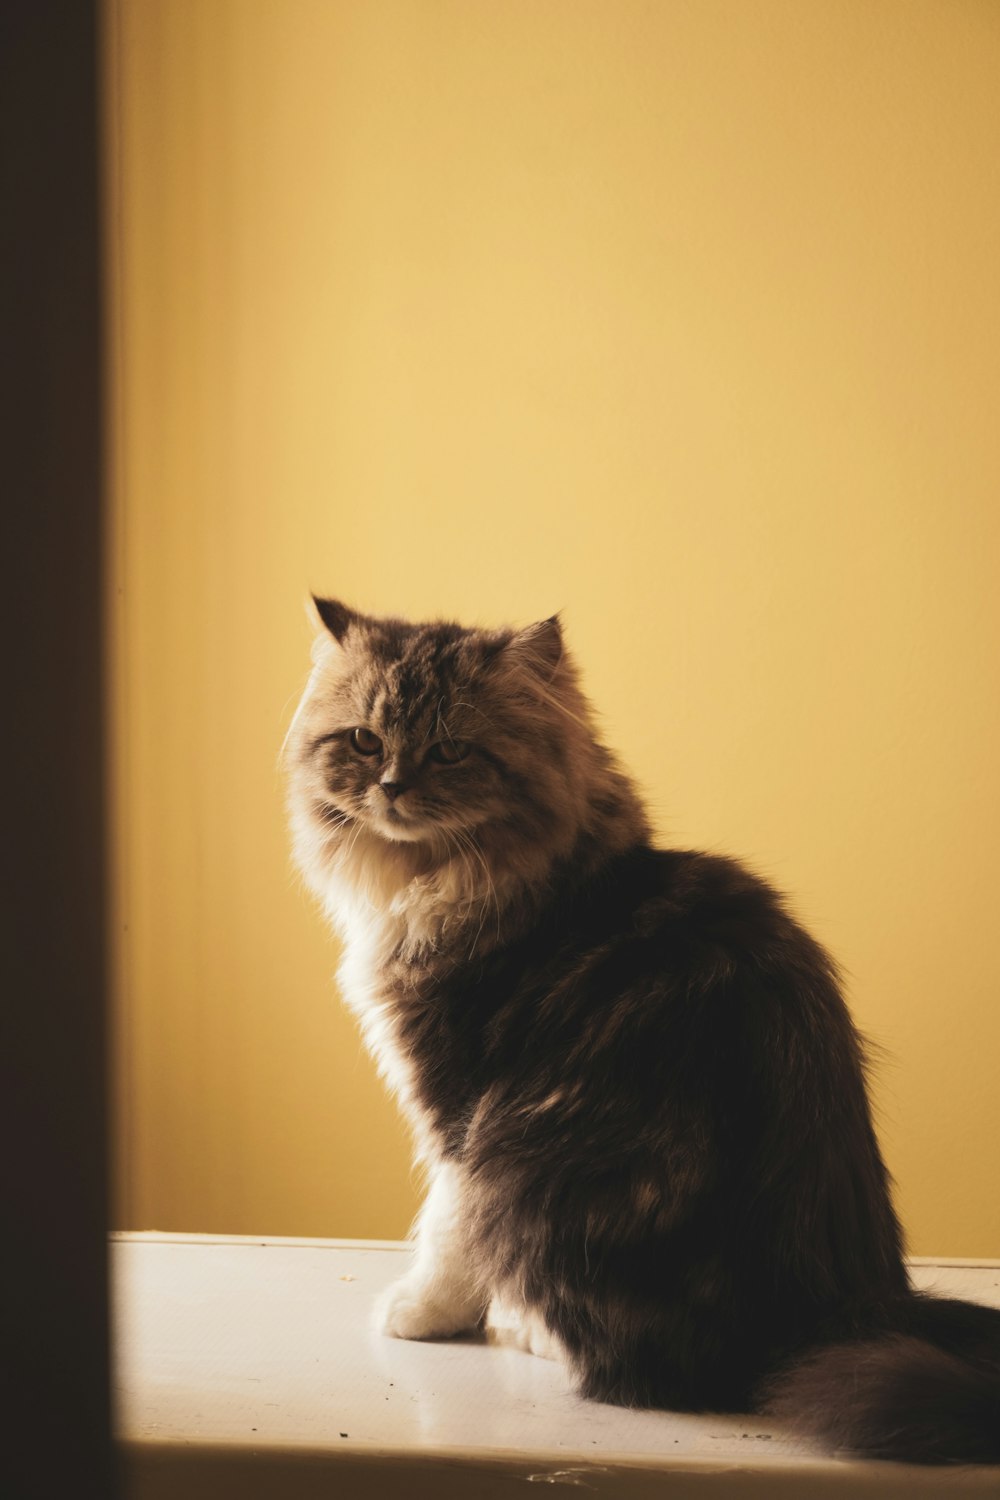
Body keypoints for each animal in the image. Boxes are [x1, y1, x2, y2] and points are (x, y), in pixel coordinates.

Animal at [283, 597, 1000, 1464]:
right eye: (364, 740)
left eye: (451, 751)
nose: (390, 786)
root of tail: (846, 1312)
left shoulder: (457, 1109)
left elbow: (446, 1231)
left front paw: (421, 1315)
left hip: (533, 1170)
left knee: (629, 1367)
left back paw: (532, 1331)